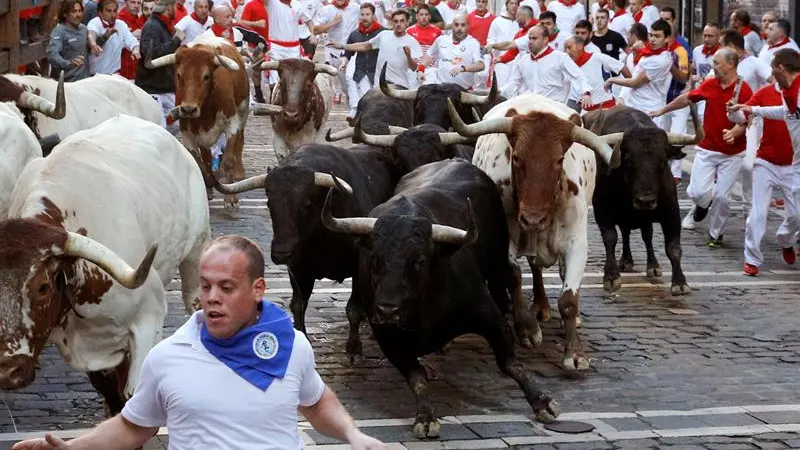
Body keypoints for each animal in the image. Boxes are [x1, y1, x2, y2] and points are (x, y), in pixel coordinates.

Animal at [0, 115, 209, 414]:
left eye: (42, 287)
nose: (7, 371)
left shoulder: (150, 315)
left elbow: (134, 396)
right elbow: (112, 394)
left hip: (196, 252)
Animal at [208, 144, 398, 358]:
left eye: (305, 205)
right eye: (269, 204)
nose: (281, 253)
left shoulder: (359, 266)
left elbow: (353, 308)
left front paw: (354, 348)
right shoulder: (298, 269)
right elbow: (298, 305)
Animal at [446, 93, 620, 370]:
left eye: (559, 160)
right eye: (517, 158)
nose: (532, 218)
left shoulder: (577, 244)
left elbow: (568, 299)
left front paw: (575, 353)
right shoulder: (505, 237)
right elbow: (514, 275)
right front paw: (527, 328)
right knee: (535, 268)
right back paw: (539, 305)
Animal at [580, 104, 700, 296]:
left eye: (663, 162)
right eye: (628, 162)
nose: (645, 201)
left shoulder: (671, 213)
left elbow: (673, 247)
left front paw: (680, 282)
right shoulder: (602, 211)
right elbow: (610, 238)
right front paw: (611, 277)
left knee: (646, 235)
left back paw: (652, 265)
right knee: (626, 233)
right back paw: (626, 261)